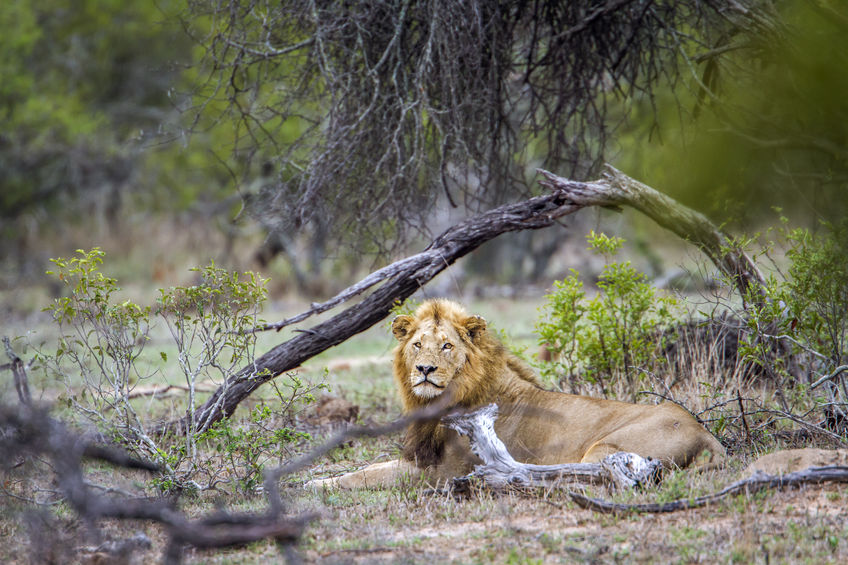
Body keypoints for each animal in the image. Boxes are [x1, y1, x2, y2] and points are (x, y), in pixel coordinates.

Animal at [308, 299, 725, 488]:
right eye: (417, 345)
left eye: (446, 346)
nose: (425, 370)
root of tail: (705, 432)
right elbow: (366, 468)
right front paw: (313, 481)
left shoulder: (442, 472)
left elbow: (368, 477)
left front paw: (313, 485)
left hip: (607, 449)